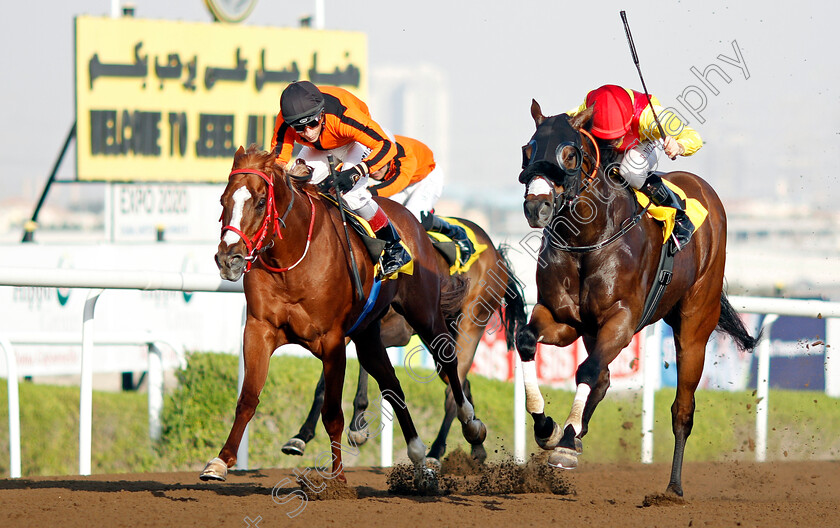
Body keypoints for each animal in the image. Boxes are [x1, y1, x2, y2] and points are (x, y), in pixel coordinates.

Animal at [203, 145, 488, 490]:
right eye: (223, 201)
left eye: (260, 202)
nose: (227, 259)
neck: (293, 260)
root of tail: (413, 222)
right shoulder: (260, 329)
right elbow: (247, 398)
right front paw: (219, 462)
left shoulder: (333, 340)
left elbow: (332, 412)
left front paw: (337, 477)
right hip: (369, 335)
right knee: (393, 384)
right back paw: (420, 461)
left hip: (428, 315)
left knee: (449, 365)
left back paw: (469, 428)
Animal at [282, 226, 528, 462]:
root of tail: (496, 252)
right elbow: (326, 383)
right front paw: (301, 436)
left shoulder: (380, 329)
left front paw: (357, 425)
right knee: (460, 381)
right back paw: (477, 446)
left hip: (471, 319)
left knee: (452, 387)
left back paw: (436, 452)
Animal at [516, 101, 756, 498]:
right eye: (527, 149)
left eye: (569, 153)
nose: (537, 207)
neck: (588, 239)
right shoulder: (562, 318)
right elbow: (526, 342)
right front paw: (549, 429)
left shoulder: (623, 319)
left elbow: (587, 370)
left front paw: (564, 443)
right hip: (594, 330)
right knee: (603, 380)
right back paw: (575, 434)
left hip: (694, 327)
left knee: (682, 410)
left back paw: (672, 488)